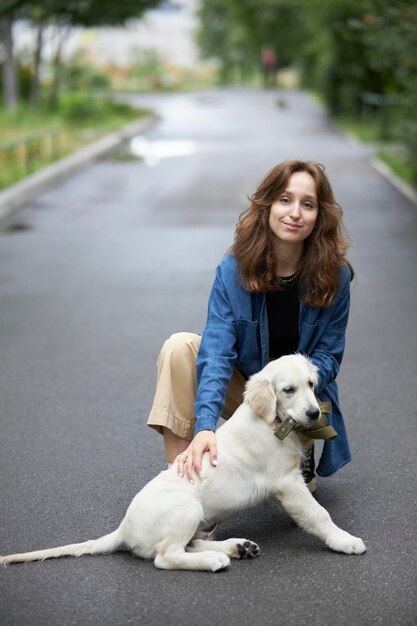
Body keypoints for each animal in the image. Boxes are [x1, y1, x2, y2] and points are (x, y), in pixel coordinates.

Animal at [0, 354, 364, 568]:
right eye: (288, 390)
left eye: (311, 384)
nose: (315, 413)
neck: (271, 421)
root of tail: (123, 528)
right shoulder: (287, 484)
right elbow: (318, 514)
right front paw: (344, 540)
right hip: (187, 508)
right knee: (166, 557)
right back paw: (216, 560)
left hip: (201, 520)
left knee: (192, 544)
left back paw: (236, 548)